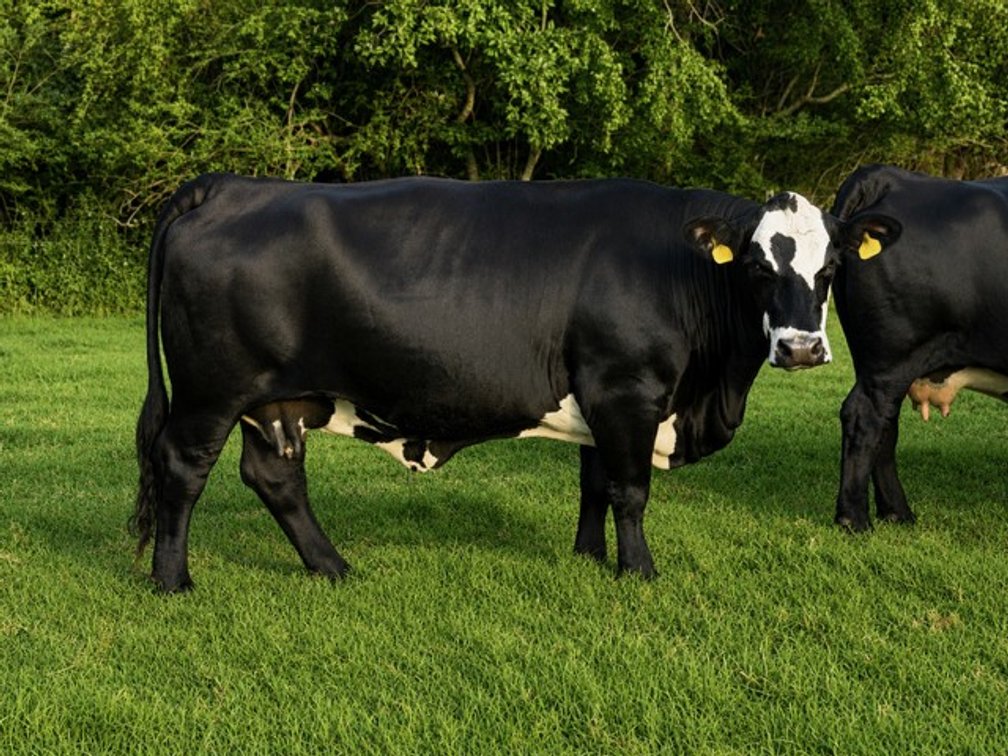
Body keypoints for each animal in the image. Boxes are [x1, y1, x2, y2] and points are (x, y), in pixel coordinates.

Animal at [132, 174, 854, 592]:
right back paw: (173, 581)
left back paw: (334, 568)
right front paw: (638, 573)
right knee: (183, 468)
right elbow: (630, 491)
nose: (801, 349)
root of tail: (232, 184)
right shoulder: (628, 388)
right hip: (210, 392)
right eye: (758, 267)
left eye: (830, 269)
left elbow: (595, 482)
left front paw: (588, 559)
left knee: (275, 476)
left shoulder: (600, 393)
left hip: (272, 399)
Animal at [831, 164, 1008, 531]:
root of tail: (890, 176)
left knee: (885, 424)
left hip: (878, 363)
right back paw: (855, 518)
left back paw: (896, 512)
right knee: (864, 417)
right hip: (893, 358)